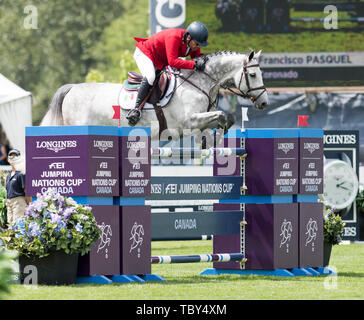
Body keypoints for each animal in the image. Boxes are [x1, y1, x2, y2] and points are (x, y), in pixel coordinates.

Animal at [40, 49, 268, 142]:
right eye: (253, 75)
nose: (264, 102)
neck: (199, 83)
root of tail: (72, 88)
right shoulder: (188, 121)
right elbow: (222, 115)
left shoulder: (199, 121)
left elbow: (222, 118)